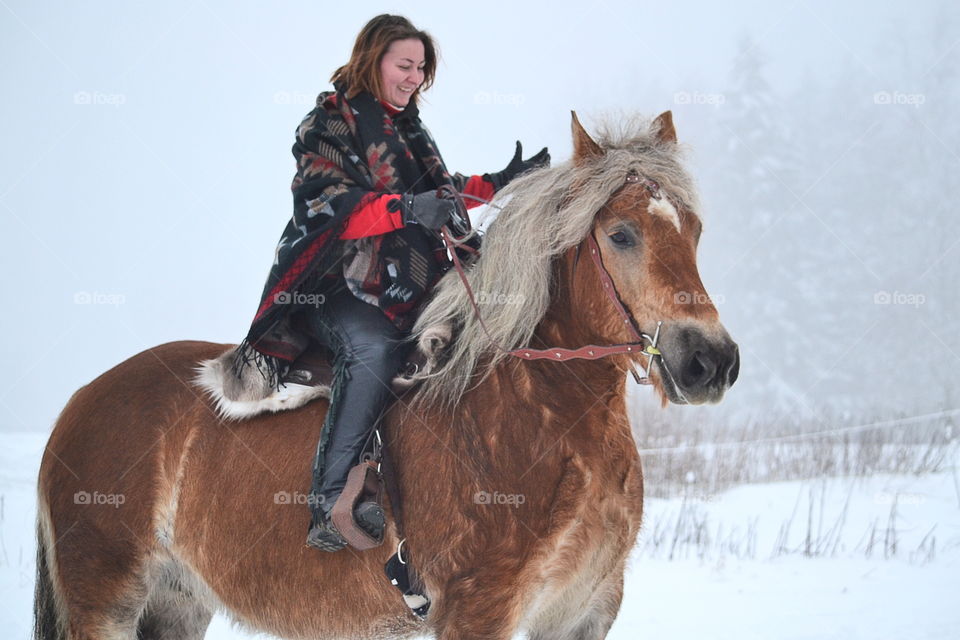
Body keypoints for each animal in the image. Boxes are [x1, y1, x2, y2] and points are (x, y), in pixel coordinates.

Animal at [33, 111, 740, 640]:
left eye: (696, 230)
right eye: (620, 234)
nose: (711, 361)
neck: (541, 419)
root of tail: (78, 403)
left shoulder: (583, 614)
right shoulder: (479, 611)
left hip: (175, 602)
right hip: (106, 600)